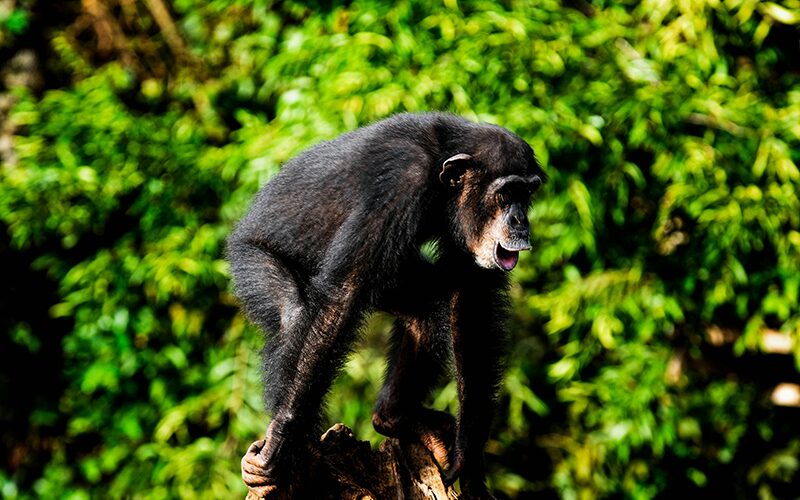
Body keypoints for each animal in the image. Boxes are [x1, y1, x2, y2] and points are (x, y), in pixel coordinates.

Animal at [227, 112, 545, 498]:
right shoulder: (398, 185)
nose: (520, 220)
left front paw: (468, 456)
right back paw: (295, 451)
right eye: (506, 193)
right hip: (250, 259)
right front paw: (280, 444)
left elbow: (472, 303)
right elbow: (342, 297)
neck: (440, 174)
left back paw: (395, 417)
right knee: (296, 317)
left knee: (424, 313)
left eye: (526, 193)